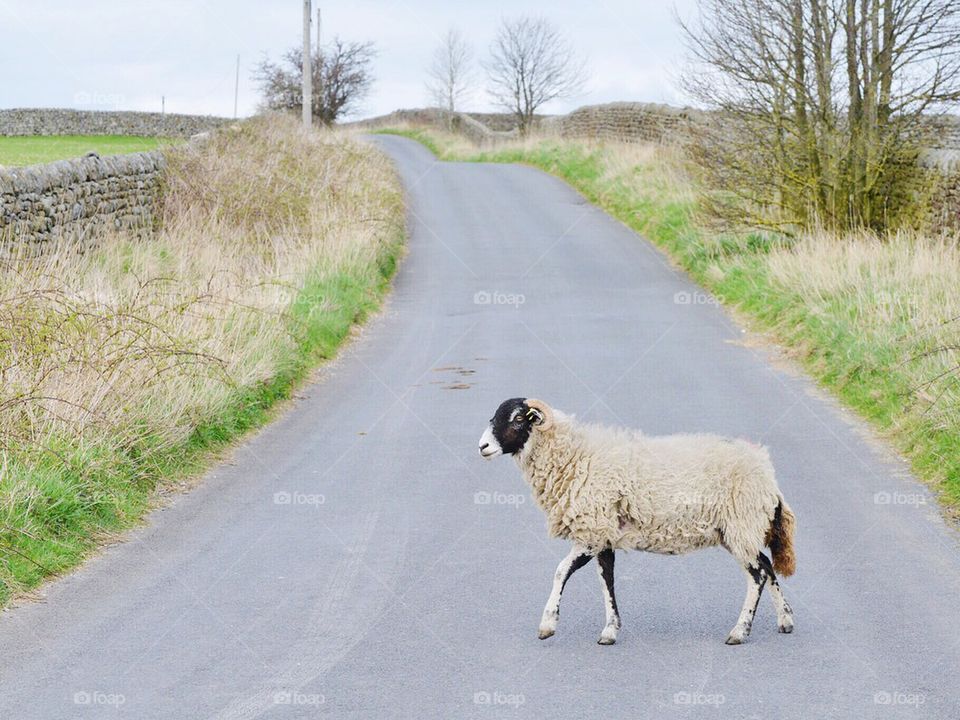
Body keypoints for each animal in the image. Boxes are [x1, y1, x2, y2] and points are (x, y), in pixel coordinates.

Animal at [477, 397, 796, 646]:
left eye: (519, 419)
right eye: (494, 416)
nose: (483, 446)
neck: (574, 456)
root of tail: (767, 473)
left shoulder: (591, 532)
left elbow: (561, 571)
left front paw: (547, 625)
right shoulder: (603, 534)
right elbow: (606, 580)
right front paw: (609, 631)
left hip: (741, 524)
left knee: (757, 575)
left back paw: (739, 632)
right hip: (738, 530)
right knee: (766, 565)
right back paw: (785, 620)